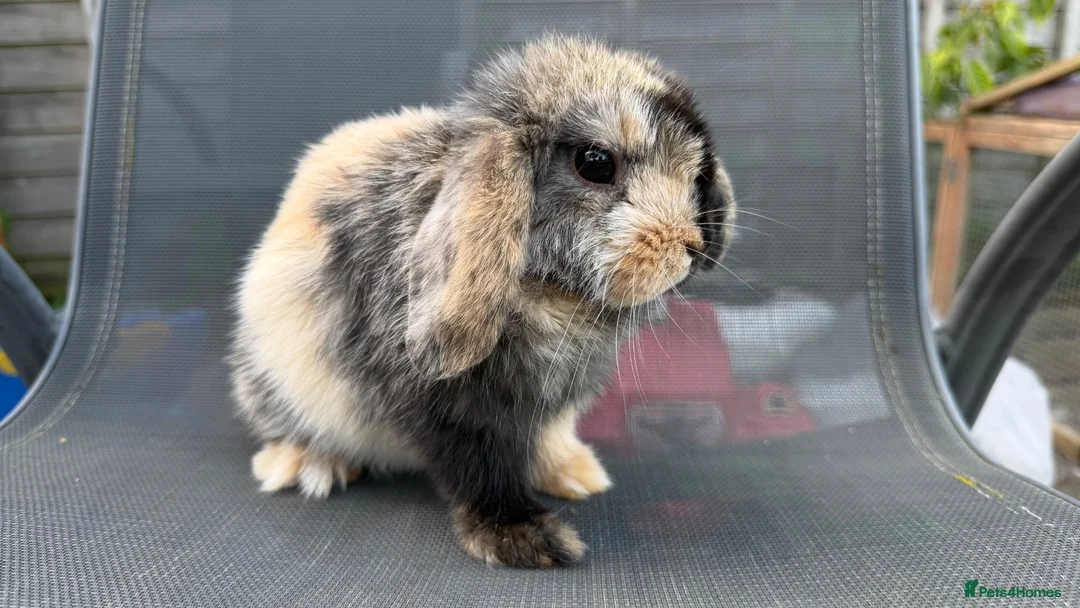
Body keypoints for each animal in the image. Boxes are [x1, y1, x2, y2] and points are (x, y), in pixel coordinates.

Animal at [229, 35, 735, 568]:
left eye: (697, 171)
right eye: (595, 163)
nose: (692, 245)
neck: (551, 293)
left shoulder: (549, 404)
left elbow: (547, 437)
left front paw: (576, 477)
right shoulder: (450, 410)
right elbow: (479, 470)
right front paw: (526, 540)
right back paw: (307, 464)